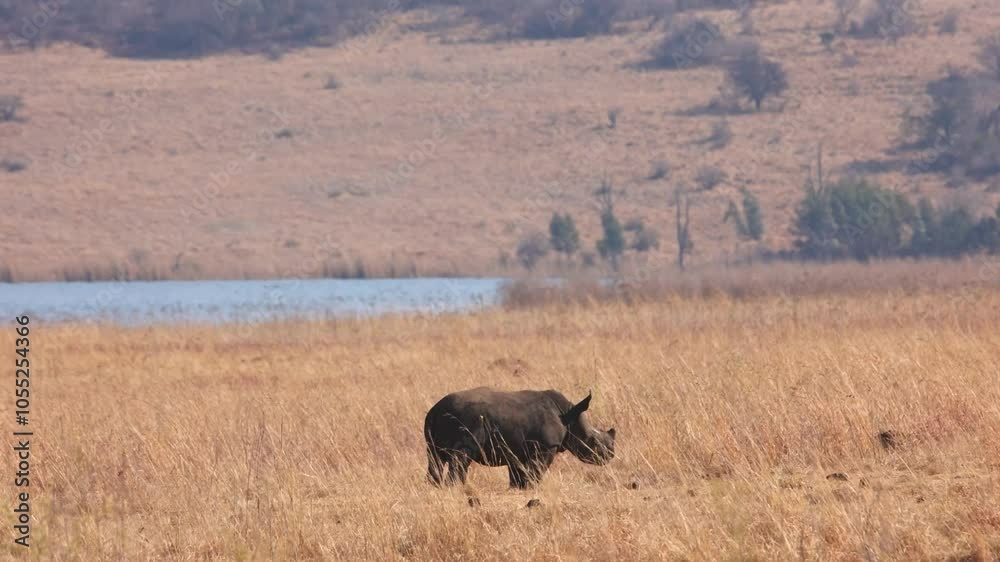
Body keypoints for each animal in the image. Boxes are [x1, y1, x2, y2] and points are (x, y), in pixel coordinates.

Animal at [424, 387, 616, 488]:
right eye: (592, 441)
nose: (610, 456)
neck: (570, 417)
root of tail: (435, 410)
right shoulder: (547, 447)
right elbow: (536, 471)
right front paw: (533, 488)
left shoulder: (517, 450)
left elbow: (518, 475)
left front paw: (519, 489)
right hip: (466, 422)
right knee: (461, 459)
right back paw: (458, 488)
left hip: (436, 427)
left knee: (435, 458)